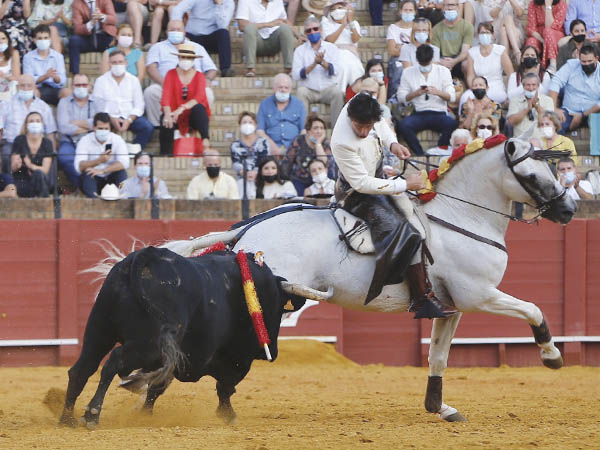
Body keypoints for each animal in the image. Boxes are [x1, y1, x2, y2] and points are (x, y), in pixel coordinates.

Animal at [58, 246, 304, 426]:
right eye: (281, 309)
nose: (273, 351)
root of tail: (148, 255)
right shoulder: (239, 358)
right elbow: (225, 387)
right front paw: (228, 414)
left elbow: (157, 387)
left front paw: (144, 415)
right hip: (147, 345)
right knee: (112, 362)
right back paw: (91, 414)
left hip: (99, 330)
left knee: (82, 368)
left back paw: (67, 418)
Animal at [159, 137, 576, 422]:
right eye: (531, 175)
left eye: (553, 170)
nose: (569, 209)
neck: (459, 218)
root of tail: (247, 230)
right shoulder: (480, 295)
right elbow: (533, 308)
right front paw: (552, 356)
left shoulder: (452, 307)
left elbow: (438, 355)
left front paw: (439, 407)